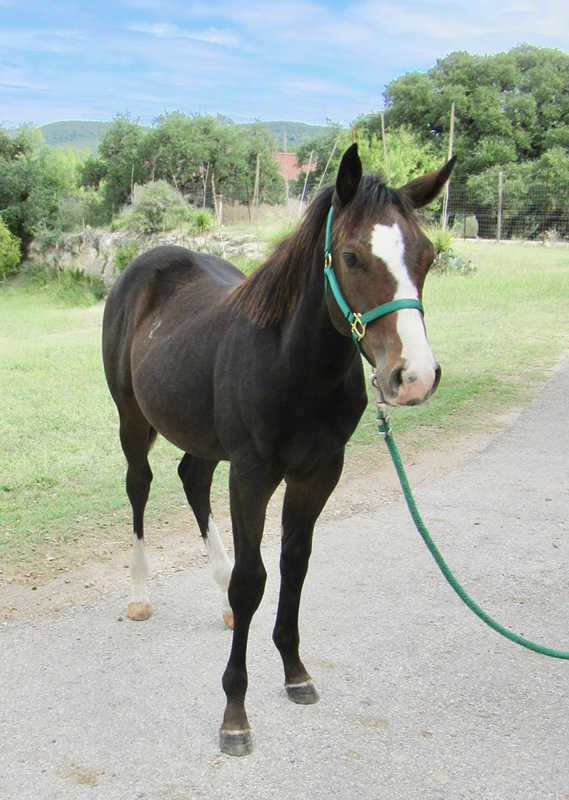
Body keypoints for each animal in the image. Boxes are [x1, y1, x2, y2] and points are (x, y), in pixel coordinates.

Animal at [102, 145, 454, 756]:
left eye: (427, 256)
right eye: (352, 258)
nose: (413, 377)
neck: (294, 364)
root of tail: (146, 264)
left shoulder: (319, 472)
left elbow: (294, 565)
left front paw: (295, 672)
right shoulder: (251, 473)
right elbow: (253, 580)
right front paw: (234, 715)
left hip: (203, 438)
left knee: (192, 479)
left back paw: (217, 598)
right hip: (133, 420)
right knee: (140, 488)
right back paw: (140, 595)